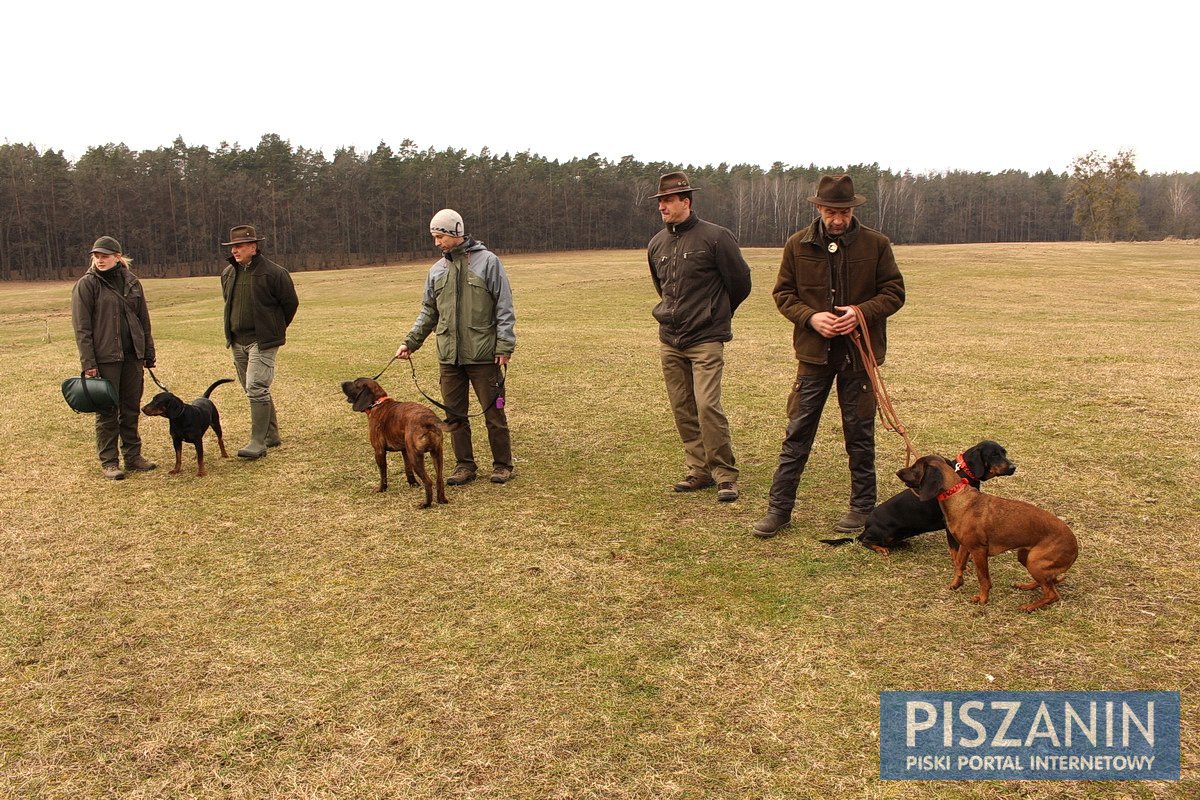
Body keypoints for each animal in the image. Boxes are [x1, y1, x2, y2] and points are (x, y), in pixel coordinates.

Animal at [820, 438, 1017, 556]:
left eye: (1004, 453)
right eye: (994, 455)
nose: (1014, 467)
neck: (961, 474)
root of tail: (867, 527)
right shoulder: (949, 524)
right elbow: (956, 550)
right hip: (883, 532)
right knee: (865, 541)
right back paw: (880, 548)